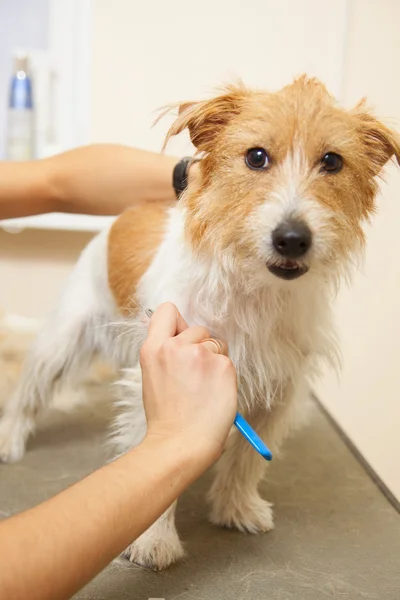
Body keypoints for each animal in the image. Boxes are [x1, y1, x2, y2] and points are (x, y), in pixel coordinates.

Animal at [0, 76, 400, 572]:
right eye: (256, 156)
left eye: (332, 161)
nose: (292, 239)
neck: (254, 290)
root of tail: (127, 214)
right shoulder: (159, 373)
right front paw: (154, 539)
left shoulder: (279, 389)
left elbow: (248, 460)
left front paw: (236, 508)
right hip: (61, 341)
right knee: (27, 391)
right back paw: (10, 438)